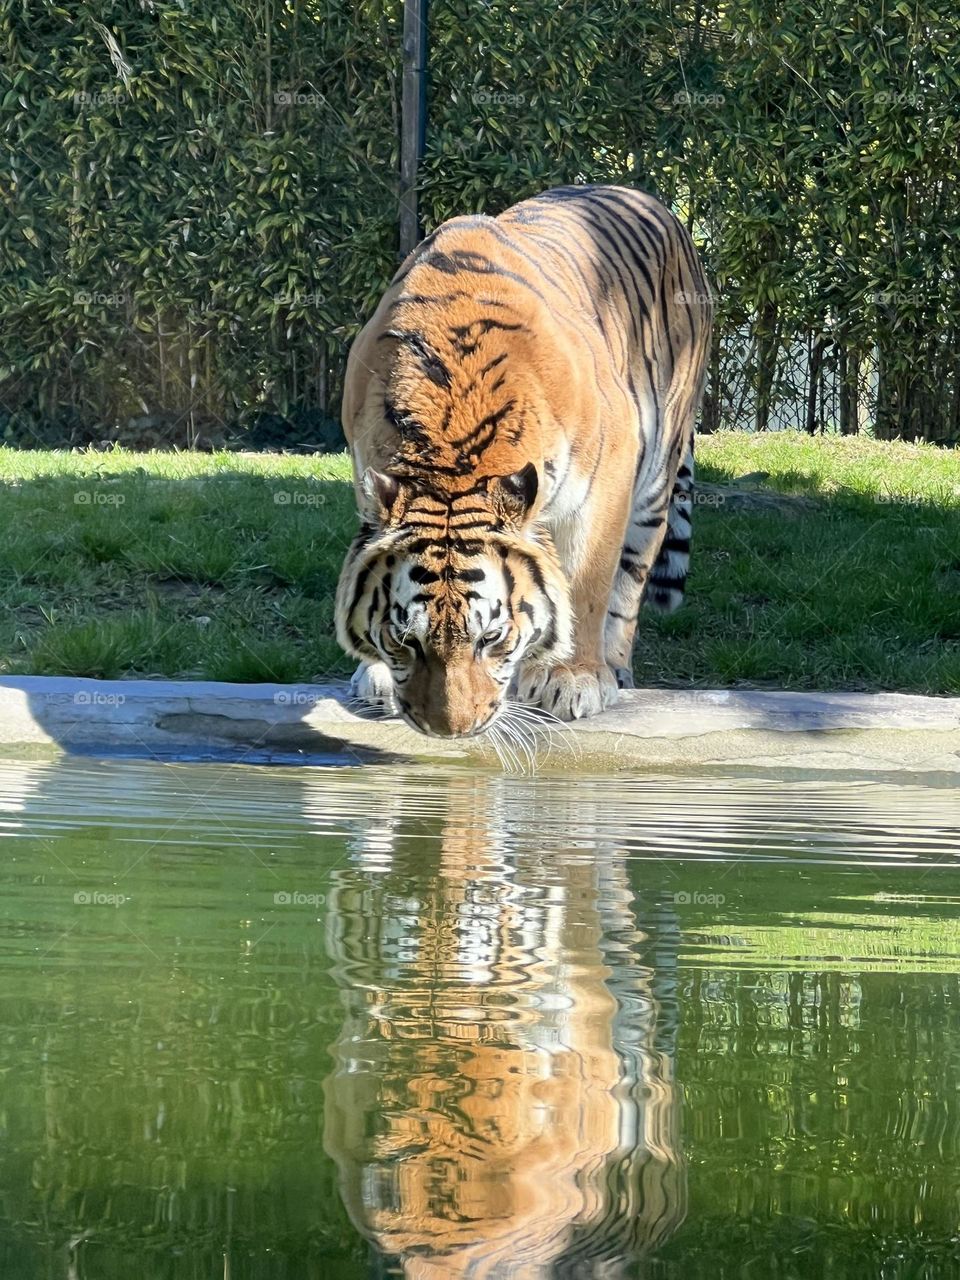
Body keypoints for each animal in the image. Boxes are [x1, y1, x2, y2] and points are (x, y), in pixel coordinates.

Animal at [336, 184, 712, 738]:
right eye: (406, 640)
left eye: (490, 637)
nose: (451, 731)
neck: (453, 448)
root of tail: (648, 197)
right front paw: (378, 673)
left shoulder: (607, 480)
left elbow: (587, 583)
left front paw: (572, 679)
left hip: (655, 478)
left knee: (629, 584)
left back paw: (614, 665)